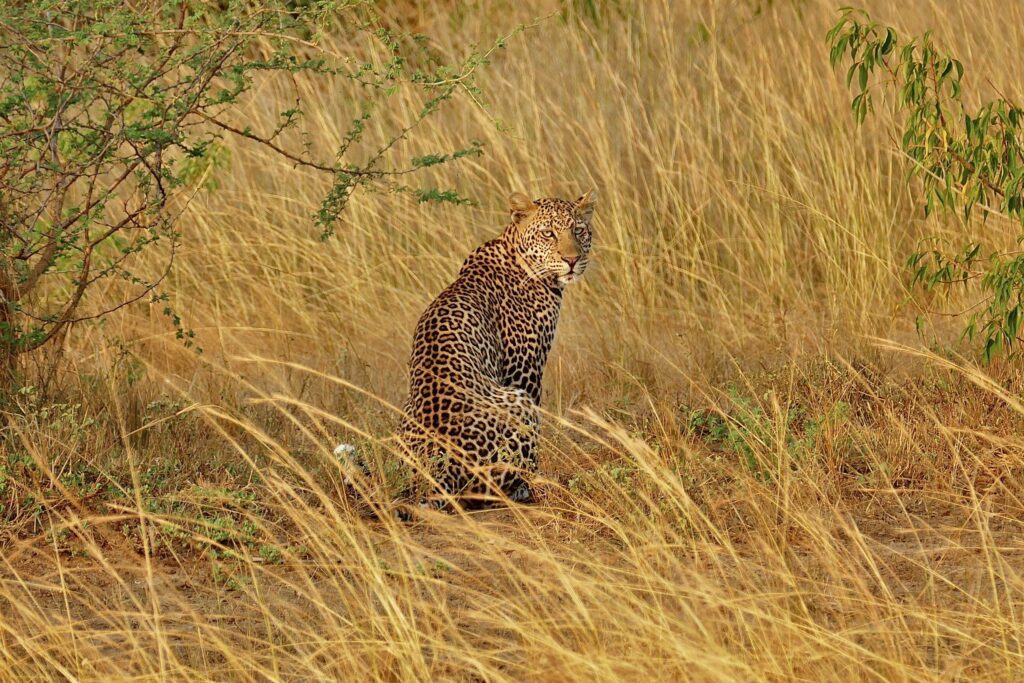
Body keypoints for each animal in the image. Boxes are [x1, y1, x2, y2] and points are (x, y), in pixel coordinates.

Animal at [395, 189, 598, 509]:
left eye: (578, 230)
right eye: (549, 233)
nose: (572, 259)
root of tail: (442, 469)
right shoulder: (524, 370)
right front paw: (534, 480)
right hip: (517, 400)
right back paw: (526, 488)